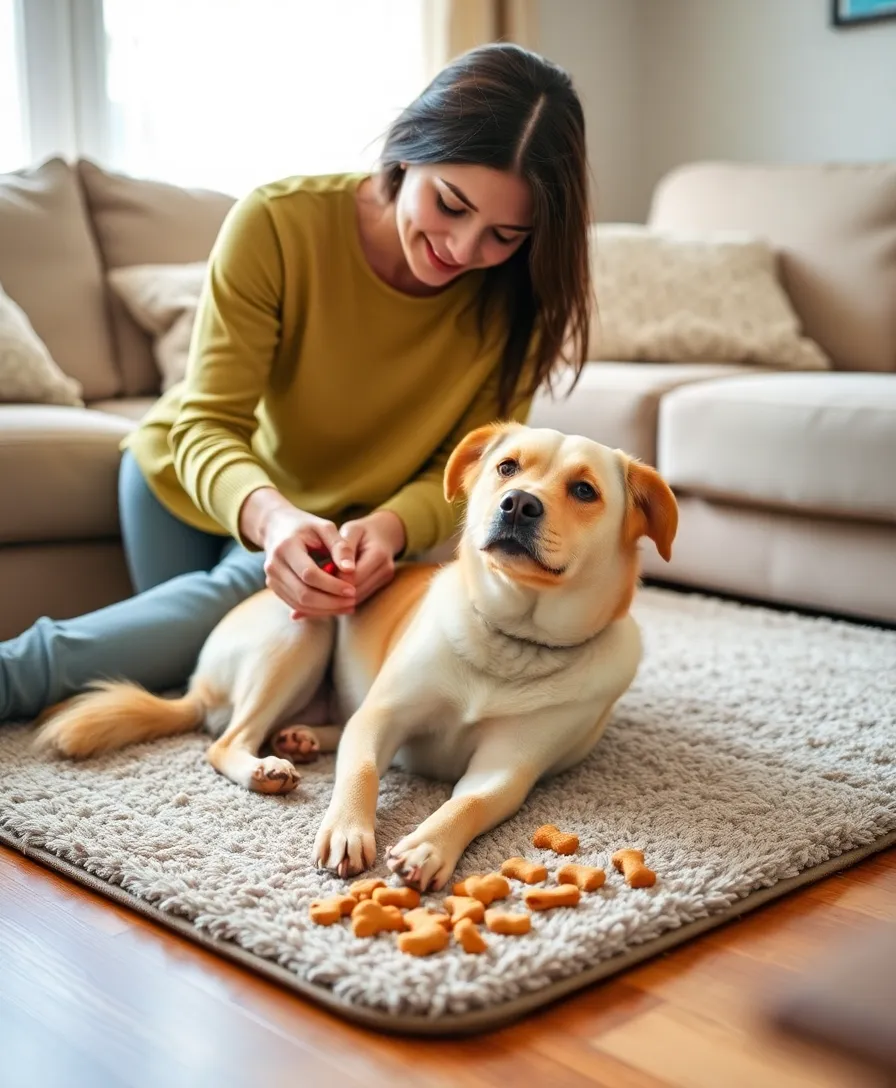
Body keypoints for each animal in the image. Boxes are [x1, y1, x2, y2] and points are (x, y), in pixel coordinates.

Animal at [36, 424, 678, 892]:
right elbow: (363, 767)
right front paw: (347, 831)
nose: (518, 504)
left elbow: (468, 800)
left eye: (584, 490)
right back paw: (266, 766)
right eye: (507, 468)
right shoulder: (383, 715)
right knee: (227, 741)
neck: (511, 636)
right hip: (302, 631)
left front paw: (427, 845)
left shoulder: (509, 766)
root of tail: (197, 684)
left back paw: (300, 740)